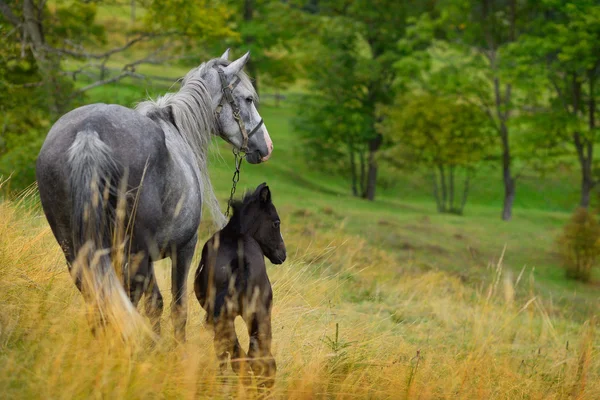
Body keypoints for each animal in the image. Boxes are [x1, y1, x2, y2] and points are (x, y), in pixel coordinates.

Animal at [37, 50, 272, 342]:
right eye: (248, 98)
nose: (266, 147)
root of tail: (89, 131)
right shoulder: (183, 249)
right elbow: (176, 306)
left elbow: (153, 303)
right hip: (135, 252)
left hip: (75, 246)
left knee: (97, 295)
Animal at [193, 183, 284, 386]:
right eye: (276, 223)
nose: (283, 254)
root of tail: (241, 263)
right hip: (259, 314)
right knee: (261, 360)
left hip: (224, 315)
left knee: (231, 350)